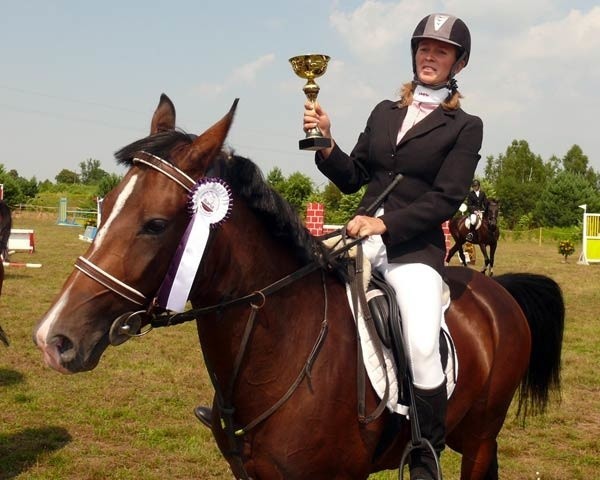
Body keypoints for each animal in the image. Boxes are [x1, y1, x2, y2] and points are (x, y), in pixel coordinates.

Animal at [35, 94, 564, 480]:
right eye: (105, 210)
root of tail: (498, 293)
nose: (53, 339)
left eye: (156, 225)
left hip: (479, 440)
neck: (285, 347)